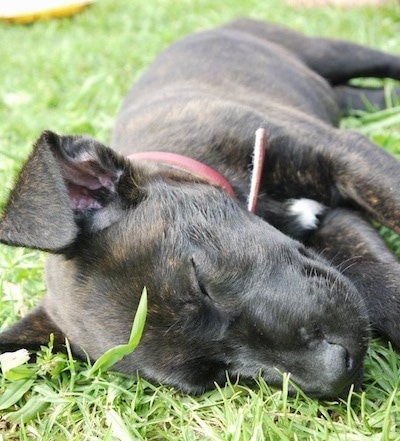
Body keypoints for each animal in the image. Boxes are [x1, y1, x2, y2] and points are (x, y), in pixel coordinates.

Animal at [0, 18, 400, 398]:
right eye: (218, 375)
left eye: (200, 281)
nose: (337, 373)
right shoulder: (332, 228)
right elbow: (376, 281)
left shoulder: (346, 156)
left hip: (327, 51)